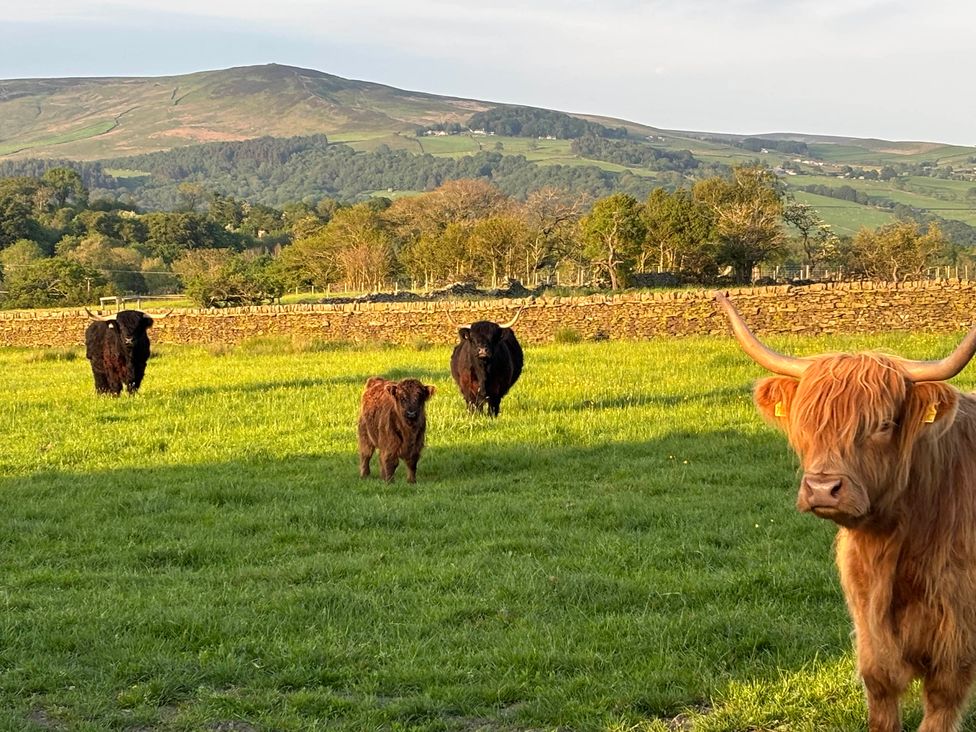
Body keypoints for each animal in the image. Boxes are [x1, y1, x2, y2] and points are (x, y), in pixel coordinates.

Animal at [715, 291, 976, 732]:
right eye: (807, 420)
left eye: (884, 424)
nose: (823, 488)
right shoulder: (869, 628)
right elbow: (881, 691)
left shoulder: (956, 638)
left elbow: (940, 704)